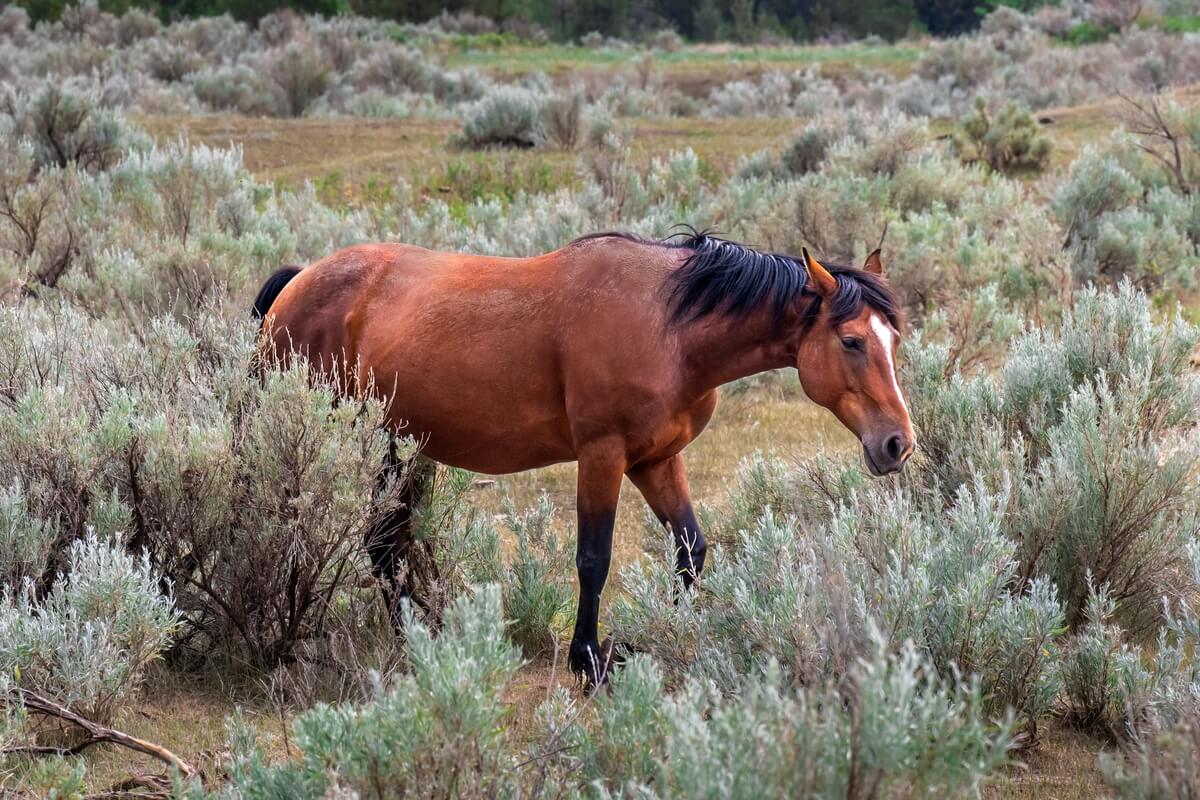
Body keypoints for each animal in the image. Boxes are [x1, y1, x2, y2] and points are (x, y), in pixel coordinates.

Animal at [251, 230, 915, 685]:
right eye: (851, 341)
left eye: (894, 339)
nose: (897, 444)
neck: (669, 328)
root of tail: (301, 279)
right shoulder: (603, 455)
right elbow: (594, 560)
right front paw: (588, 660)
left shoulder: (657, 460)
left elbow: (691, 550)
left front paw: (668, 634)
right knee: (363, 537)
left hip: (403, 444)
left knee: (387, 540)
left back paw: (422, 639)